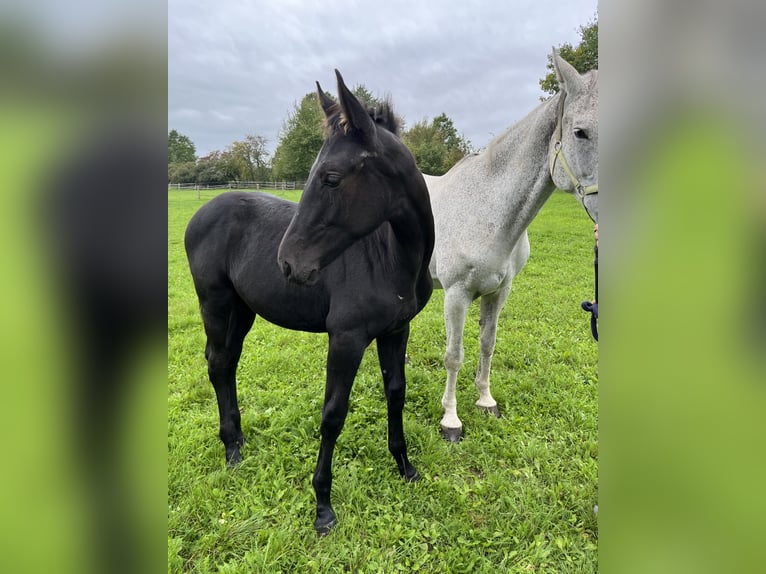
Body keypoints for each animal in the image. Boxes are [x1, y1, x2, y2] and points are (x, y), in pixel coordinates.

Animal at [184, 70, 435, 534]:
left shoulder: (396, 330)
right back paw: (232, 450)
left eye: (331, 178)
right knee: (217, 363)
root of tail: (204, 211)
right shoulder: (346, 338)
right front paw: (322, 506)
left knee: (227, 363)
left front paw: (404, 466)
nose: (289, 263)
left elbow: (396, 392)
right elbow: (333, 414)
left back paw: (237, 440)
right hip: (216, 304)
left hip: (242, 311)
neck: (392, 258)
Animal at [426, 50, 598, 442]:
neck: (488, 209)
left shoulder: (499, 291)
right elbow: (454, 355)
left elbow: (487, 343)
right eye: (580, 132)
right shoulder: (456, 294)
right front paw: (450, 420)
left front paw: (486, 401)